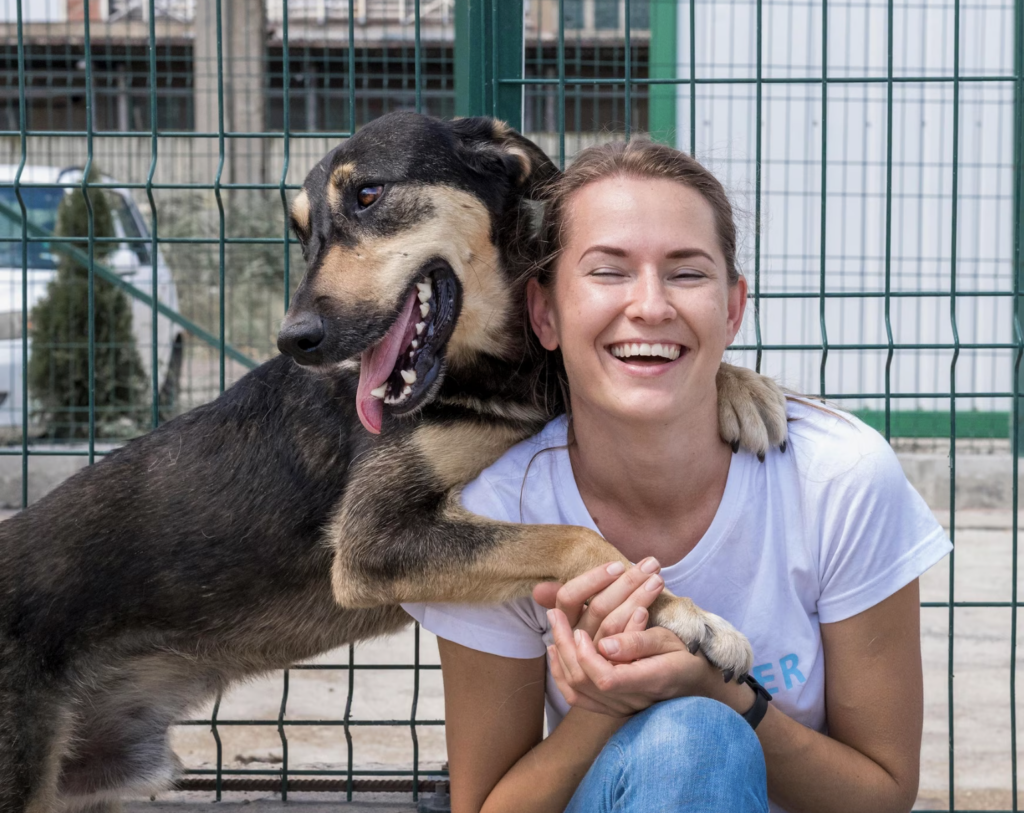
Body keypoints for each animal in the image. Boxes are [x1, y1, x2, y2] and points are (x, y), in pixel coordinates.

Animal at [0, 111, 790, 806]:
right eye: (300, 231)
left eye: (369, 194)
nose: (295, 339)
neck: (494, 370)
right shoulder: (372, 539)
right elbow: (572, 537)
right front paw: (688, 616)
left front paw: (746, 390)